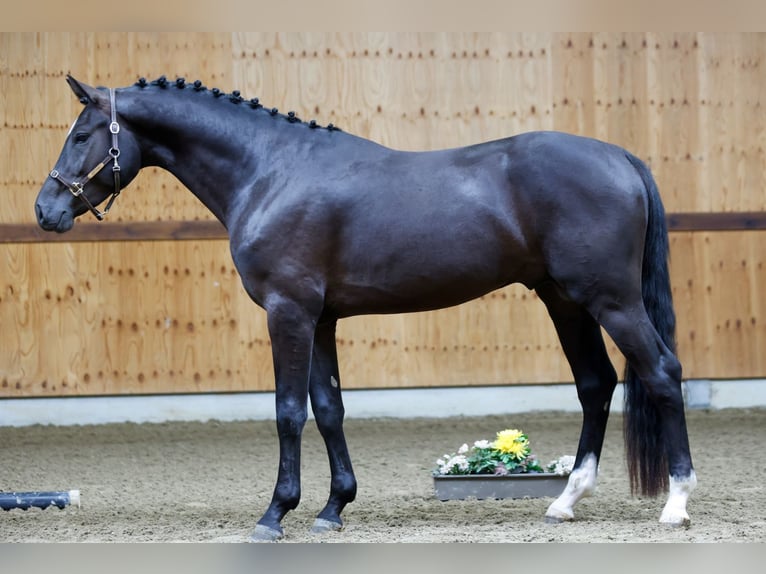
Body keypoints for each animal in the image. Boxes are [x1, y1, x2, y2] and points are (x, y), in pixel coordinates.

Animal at [34, 75, 696, 540]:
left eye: (81, 136)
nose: (46, 210)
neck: (270, 172)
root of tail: (621, 158)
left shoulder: (289, 312)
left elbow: (288, 412)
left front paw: (275, 513)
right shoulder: (321, 318)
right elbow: (329, 409)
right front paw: (333, 508)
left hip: (610, 300)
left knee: (662, 373)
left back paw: (677, 503)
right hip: (566, 300)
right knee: (596, 383)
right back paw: (565, 501)